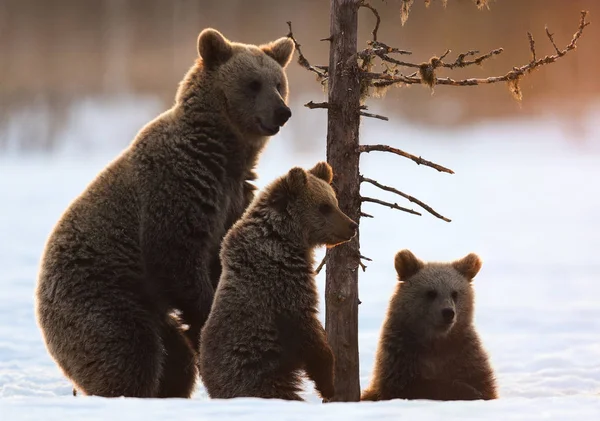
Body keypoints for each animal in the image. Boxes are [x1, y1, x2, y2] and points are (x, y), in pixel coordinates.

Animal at [34, 29, 294, 398]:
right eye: (253, 83)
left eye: (278, 82)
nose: (282, 112)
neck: (222, 152)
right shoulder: (177, 187)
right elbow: (176, 257)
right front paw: (208, 315)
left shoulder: (233, 197)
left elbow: (220, 257)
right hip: (101, 296)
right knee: (127, 351)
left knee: (173, 361)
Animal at [199, 162, 356, 400]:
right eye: (324, 206)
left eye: (335, 202)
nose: (352, 225)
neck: (285, 239)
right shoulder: (282, 284)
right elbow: (307, 330)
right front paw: (327, 384)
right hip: (254, 374)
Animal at [360, 249, 496, 400]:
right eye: (431, 293)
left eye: (455, 293)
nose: (448, 312)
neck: (435, 341)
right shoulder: (401, 357)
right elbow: (410, 387)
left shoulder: (464, 354)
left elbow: (482, 384)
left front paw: (471, 391)